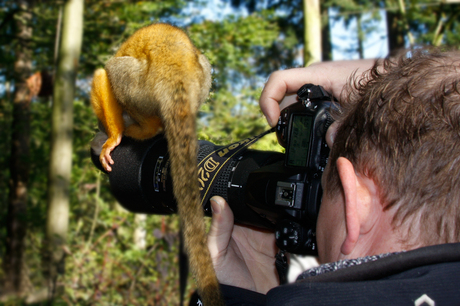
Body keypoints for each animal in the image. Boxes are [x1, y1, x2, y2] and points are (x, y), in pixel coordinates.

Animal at [90, 23, 223, 304]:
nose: (99, 131)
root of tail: (176, 74)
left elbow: (102, 78)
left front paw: (114, 136)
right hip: (198, 81)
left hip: (138, 85)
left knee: (111, 70)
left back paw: (139, 130)